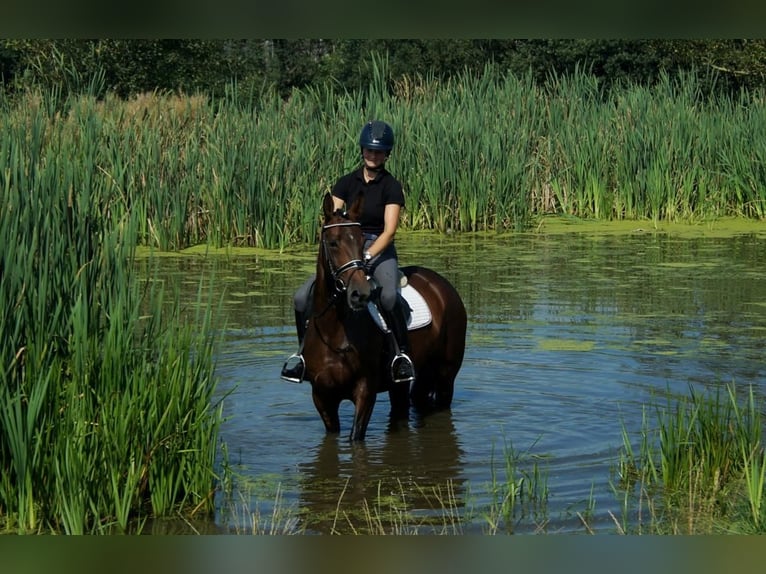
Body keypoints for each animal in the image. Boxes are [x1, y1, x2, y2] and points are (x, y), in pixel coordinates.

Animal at [300, 194, 468, 440]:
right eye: (332, 242)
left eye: (361, 241)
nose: (359, 293)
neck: (335, 330)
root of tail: (441, 285)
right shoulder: (322, 396)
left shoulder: (365, 391)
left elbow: (355, 439)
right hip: (408, 380)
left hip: (446, 374)